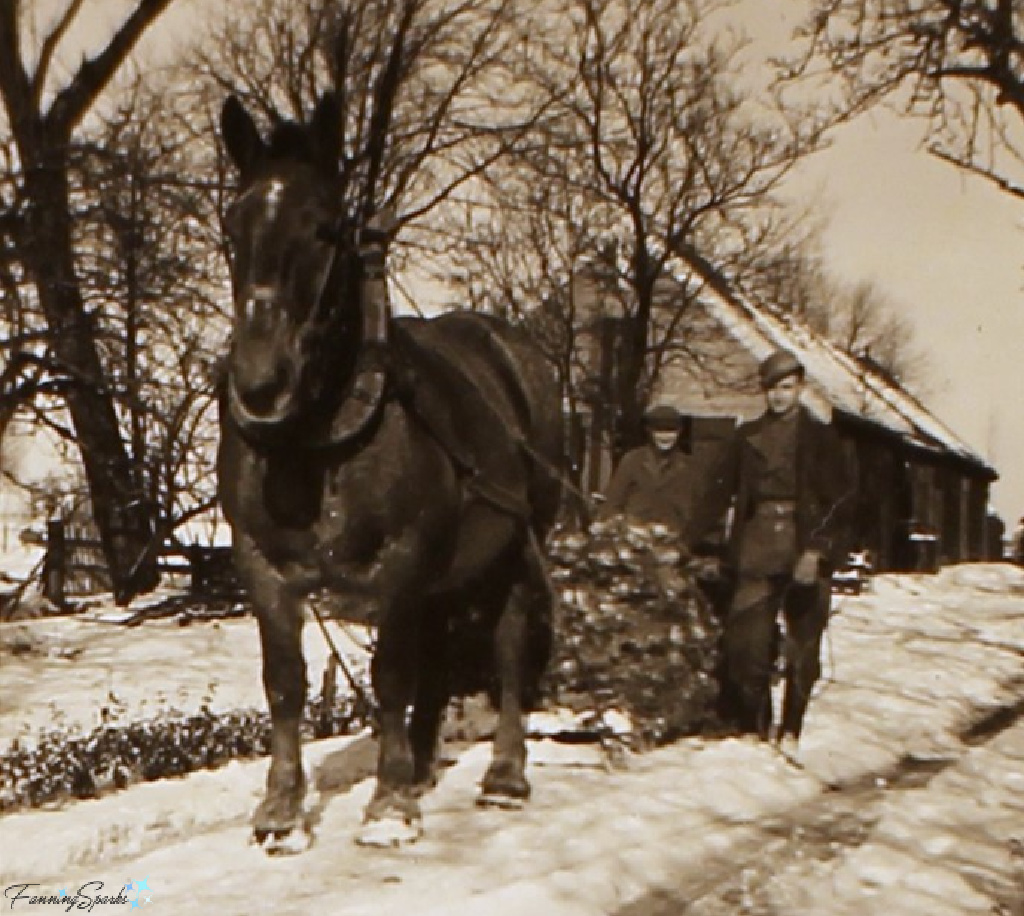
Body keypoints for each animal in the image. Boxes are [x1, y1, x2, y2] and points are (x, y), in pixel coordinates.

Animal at [216, 93, 563, 850]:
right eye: (234, 222)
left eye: (325, 226)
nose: (259, 383)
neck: (314, 446)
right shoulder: (262, 565)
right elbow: (285, 681)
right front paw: (282, 811)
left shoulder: (402, 563)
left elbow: (392, 675)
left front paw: (387, 807)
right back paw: (422, 762)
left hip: (517, 546)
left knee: (506, 645)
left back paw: (503, 772)